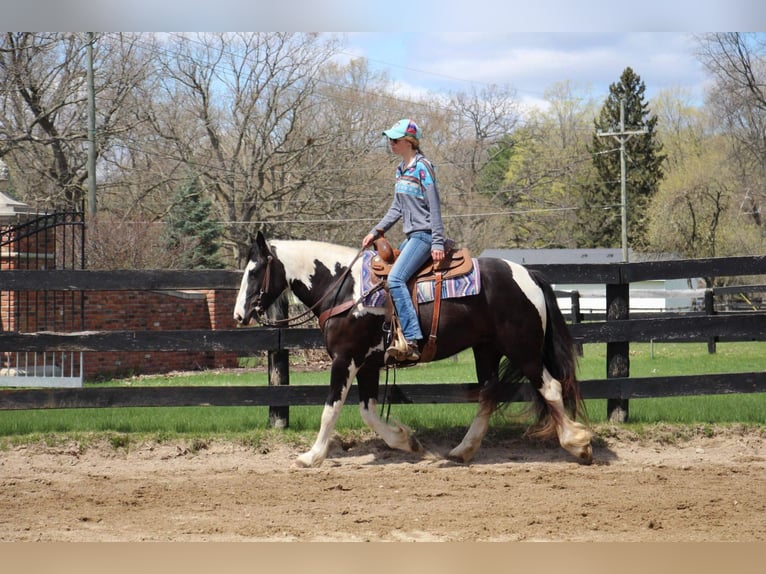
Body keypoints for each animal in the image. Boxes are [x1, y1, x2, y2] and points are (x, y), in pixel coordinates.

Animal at [234, 232, 592, 470]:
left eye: (255, 270)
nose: (239, 315)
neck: (343, 289)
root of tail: (528, 274)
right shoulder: (368, 365)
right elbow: (368, 412)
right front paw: (407, 441)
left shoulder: (345, 359)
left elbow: (331, 410)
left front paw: (312, 456)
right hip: (486, 349)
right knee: (489, 394)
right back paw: (462, 451)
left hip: (523, 348)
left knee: (551, 388)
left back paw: (579, 445)